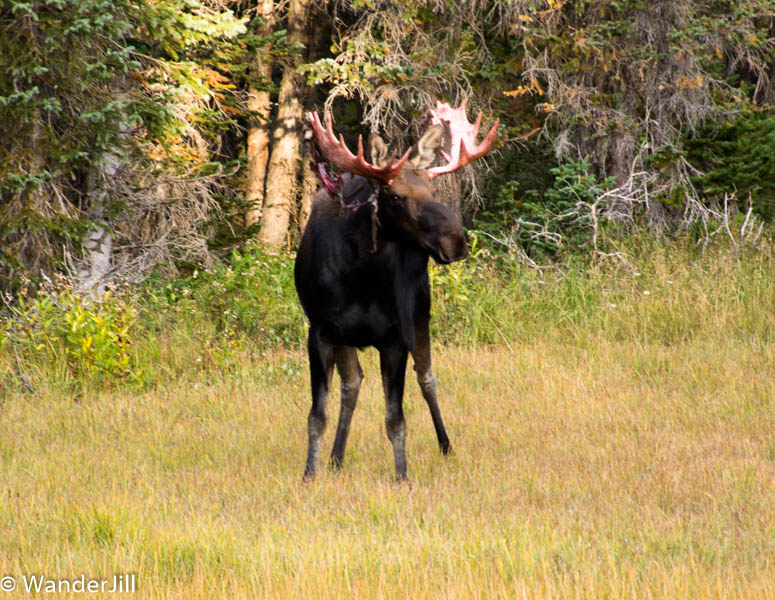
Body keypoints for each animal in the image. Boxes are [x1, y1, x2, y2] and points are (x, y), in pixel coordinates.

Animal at [295, 101, 498, 480]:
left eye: (435, 191)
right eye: (394, 197)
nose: (456, 241)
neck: (361, 278)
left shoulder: (395, 337)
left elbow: (396, 420)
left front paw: (402, 476)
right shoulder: (320, 332)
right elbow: (317, 415)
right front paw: (309, 474)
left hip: (422, 312)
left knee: (427, 378)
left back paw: (446, 446)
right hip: (346, 337)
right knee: (352, 384)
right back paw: (335, 457)